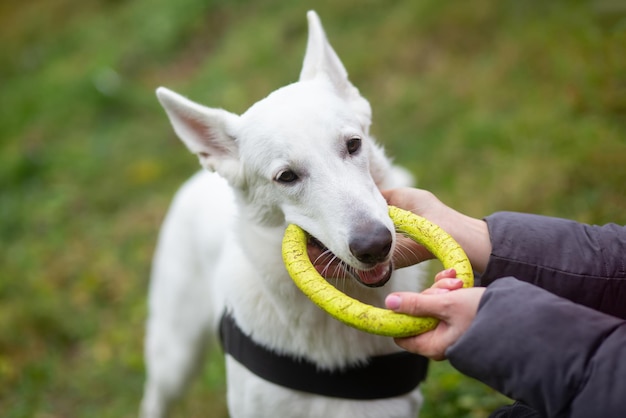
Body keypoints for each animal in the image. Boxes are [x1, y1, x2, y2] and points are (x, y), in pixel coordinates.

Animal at [139, 10, 426, 418]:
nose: (375, 245)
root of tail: (199, 176)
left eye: (354, 145)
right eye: (286, 177)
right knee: (154, 393)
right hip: (174, 356)